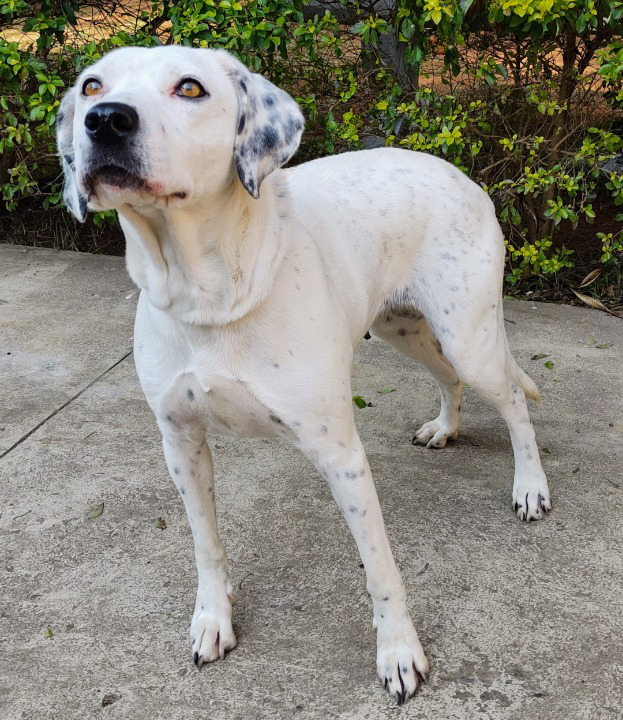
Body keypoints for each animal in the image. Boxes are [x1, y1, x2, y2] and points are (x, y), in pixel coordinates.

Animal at [56, 47, 552, 704]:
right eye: (92, 86)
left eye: (190, 88)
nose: (106, 120)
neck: (208, 296)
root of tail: (462, 174)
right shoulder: (180, 443)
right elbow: (206, 545)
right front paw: (213, 619)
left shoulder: (339, 452)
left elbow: (380, 567)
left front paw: (399, 653)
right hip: (402, 328)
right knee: (449, 378)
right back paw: (445, 427)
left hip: (470, 336)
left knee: (513, 402)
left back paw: (531, 487)